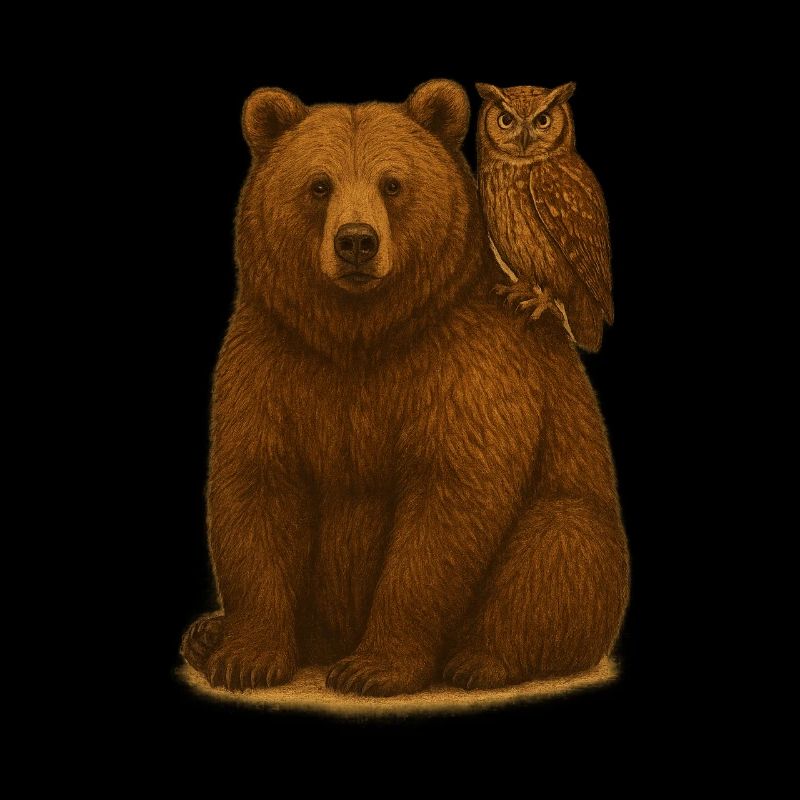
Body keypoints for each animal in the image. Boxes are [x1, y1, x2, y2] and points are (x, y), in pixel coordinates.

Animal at [181, 79, 629, 696]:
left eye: (392, 183)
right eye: (319, 184)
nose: (356, 242)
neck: (361, 334)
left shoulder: (466, 363)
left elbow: (449, 499)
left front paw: (373, 667)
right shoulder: (274, 357)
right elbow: (256, 490)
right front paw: (246, 657)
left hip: (576, 529)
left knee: (558, 545)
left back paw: (479, 660)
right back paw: (206, 634)